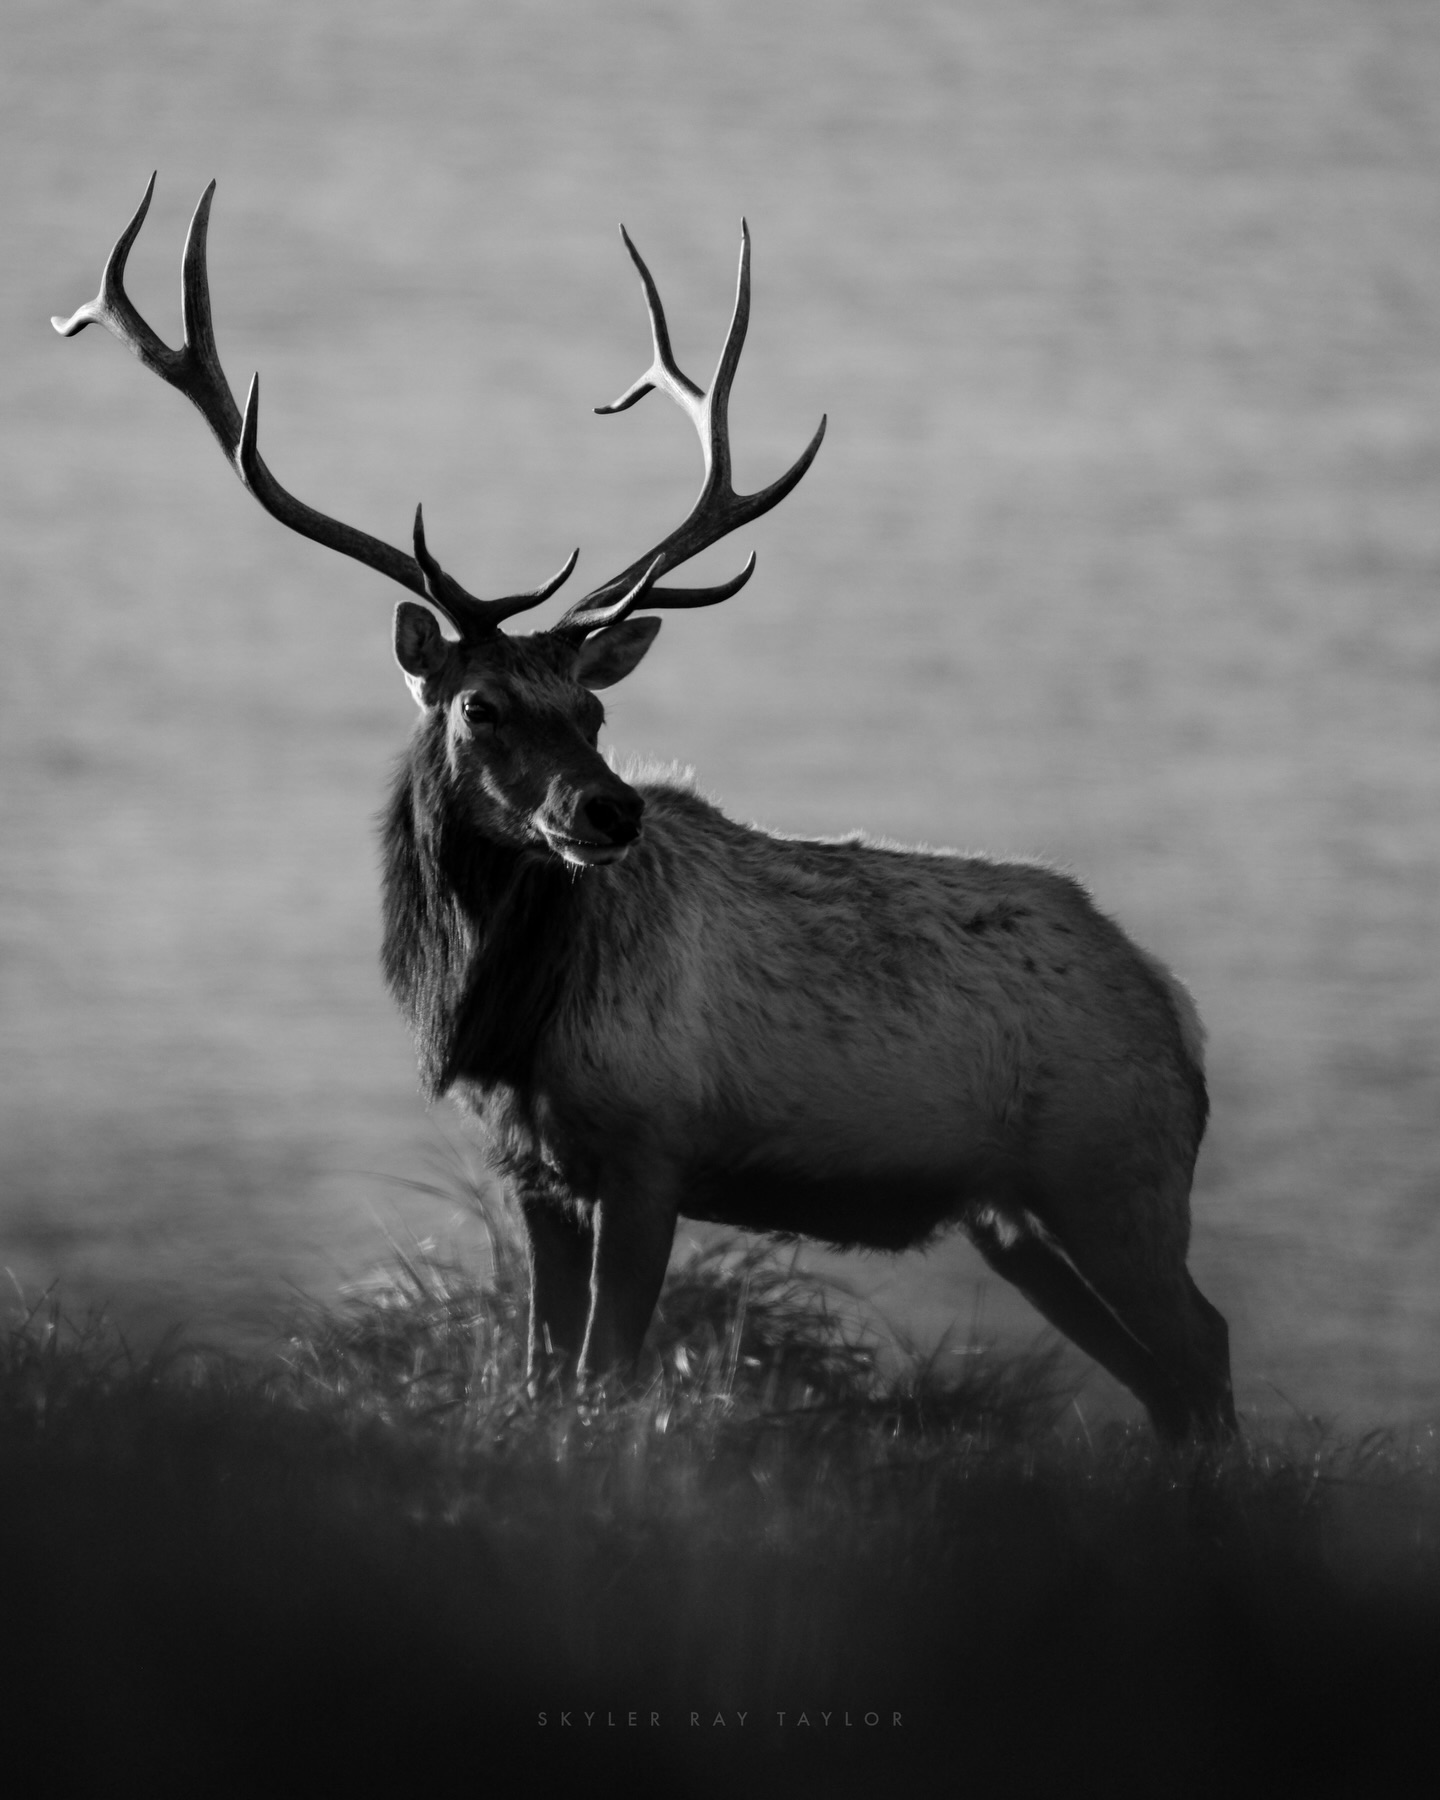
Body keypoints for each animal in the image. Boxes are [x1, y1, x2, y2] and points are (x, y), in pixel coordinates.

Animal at [55, 177, 1237, 1441]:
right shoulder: (535, 1170)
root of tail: (1175, 1009)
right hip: (1011, 1212)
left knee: (1204, 1344)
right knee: (1165, 1378)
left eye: (593, 708)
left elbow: (605, 1374)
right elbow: (540, 1372)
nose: (610, 812)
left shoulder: (651, 1147)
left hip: (1115, 1169)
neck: (501, 1021)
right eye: (480, 705)